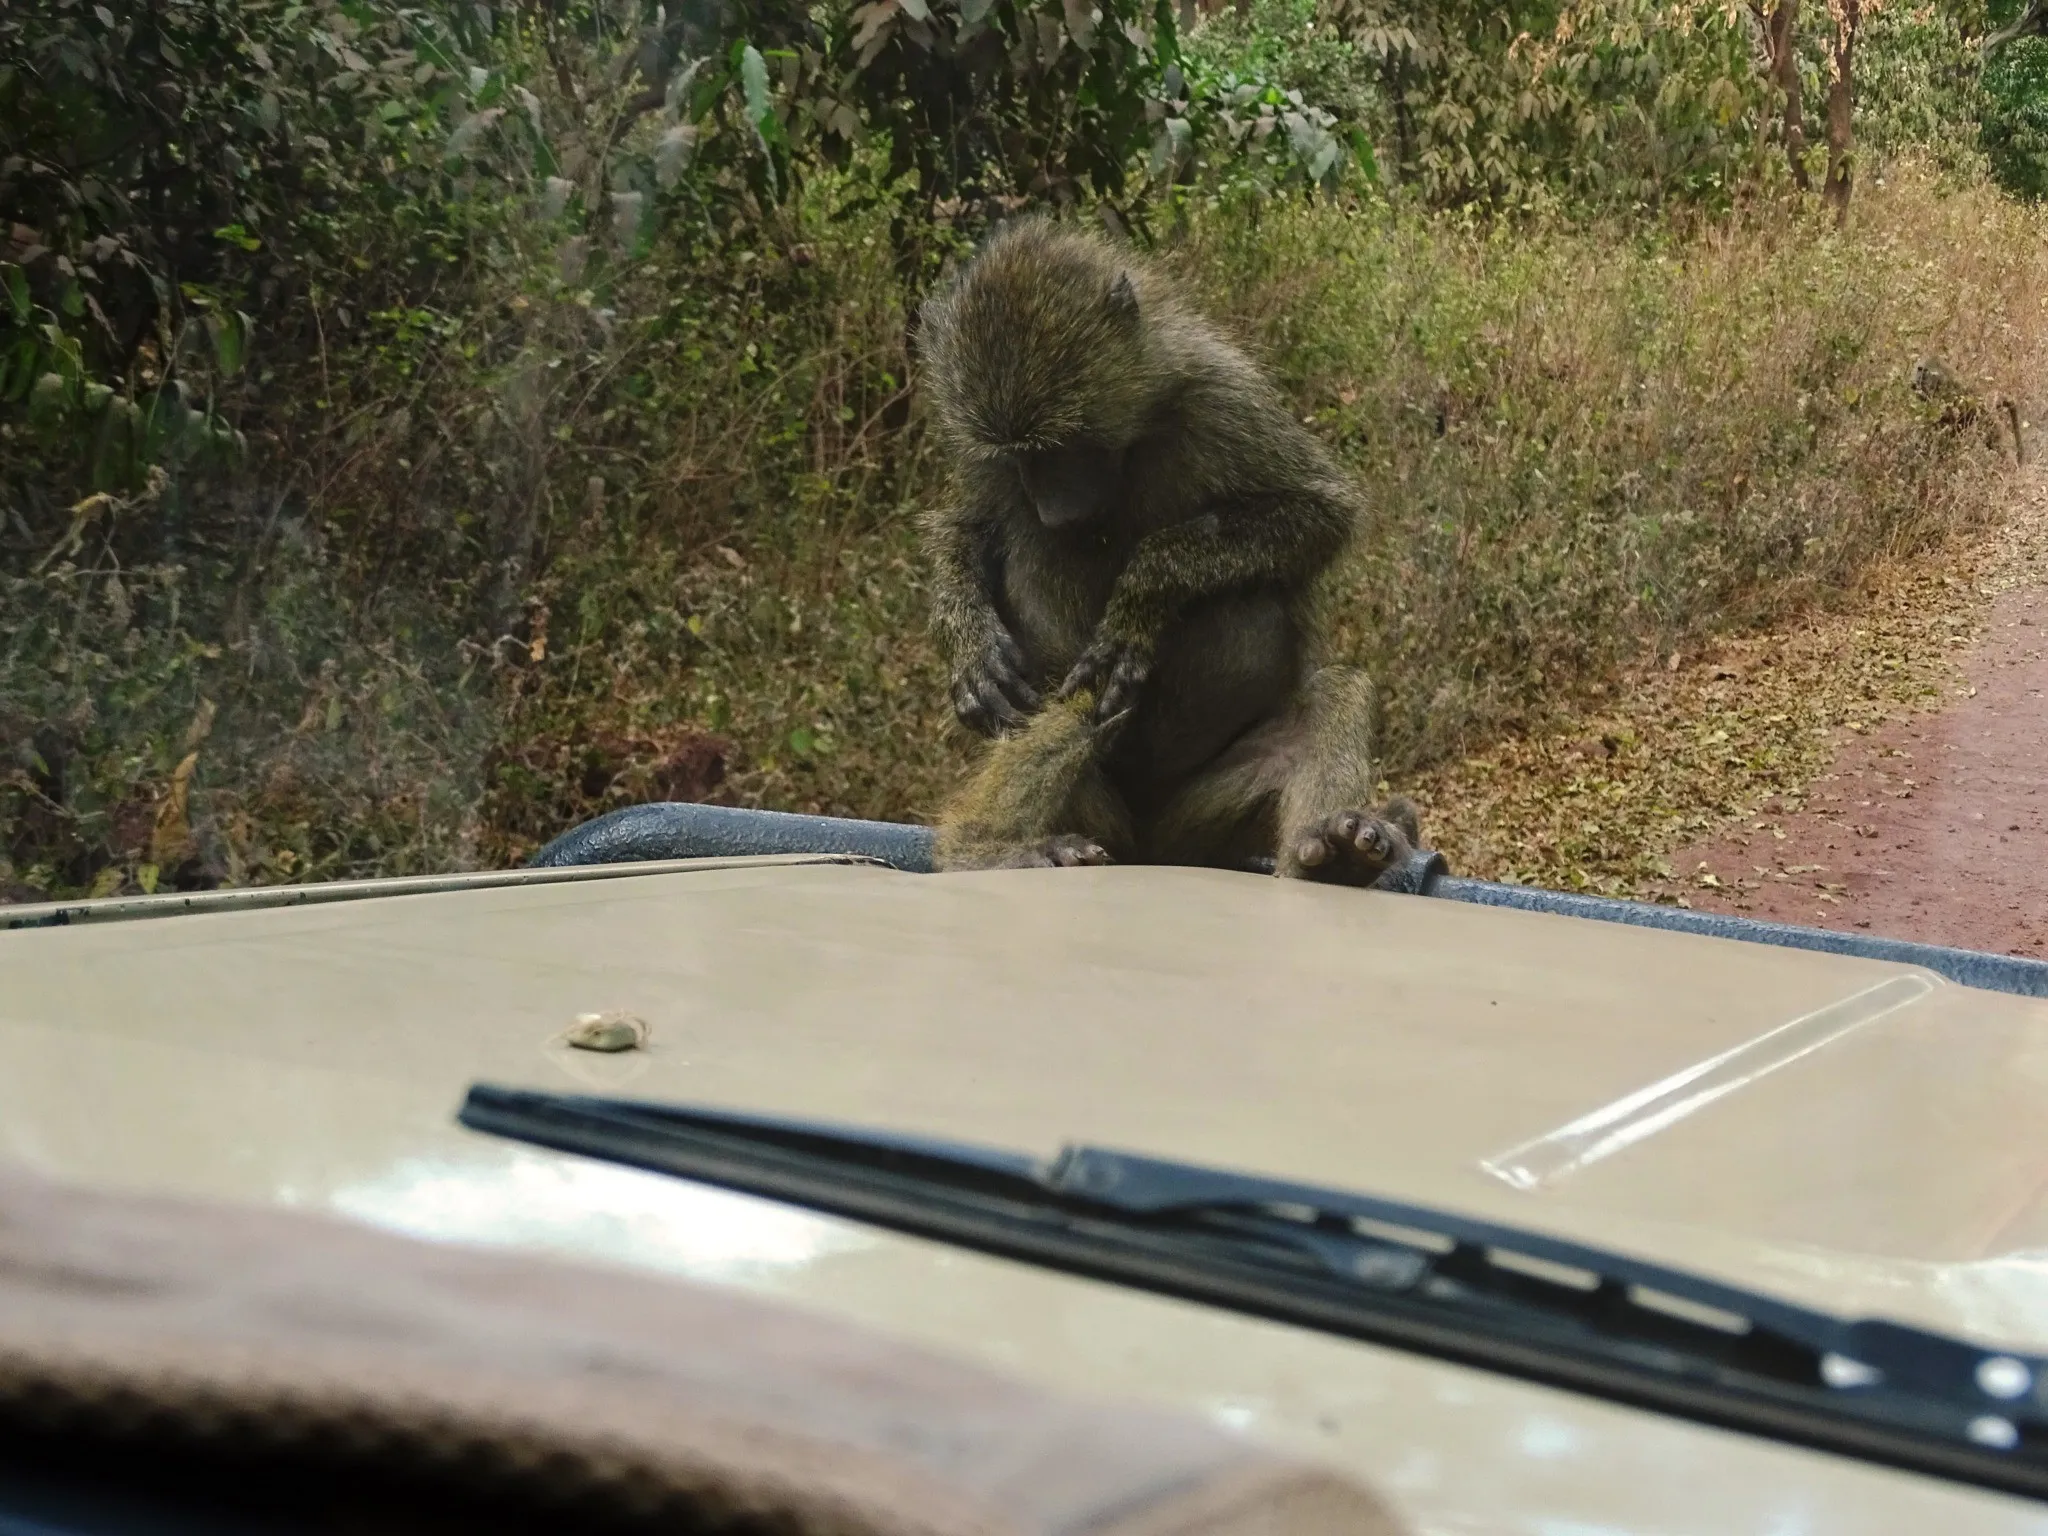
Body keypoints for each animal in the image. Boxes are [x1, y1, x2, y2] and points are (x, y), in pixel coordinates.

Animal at [915, 215, 1421, 885]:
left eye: (1066, 444)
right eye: (1021, 455)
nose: (1059, 508)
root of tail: (1147, 847)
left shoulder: (1222, 398)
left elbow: (1321, 511)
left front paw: (1145, 590)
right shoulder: (977, 451)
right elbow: (963, 529)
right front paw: (971, 645)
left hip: (1197, 823)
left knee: (1332, 684)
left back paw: (1332, 853)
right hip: (1101, 810)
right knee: (1082, 695)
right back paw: (983, 849)